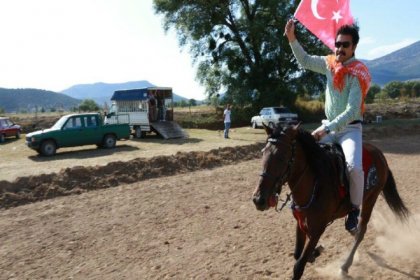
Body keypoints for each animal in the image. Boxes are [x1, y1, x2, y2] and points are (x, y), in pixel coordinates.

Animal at [251, 124, 408, 280]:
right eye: (263, 153)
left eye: (282, 157)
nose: (259, 199)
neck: (315, 182)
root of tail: (380, 154)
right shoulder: (300, 223)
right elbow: (297, 254)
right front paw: (315, 253)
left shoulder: (318, 229)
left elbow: (299, 266)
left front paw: (313, 253)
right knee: (355, 231)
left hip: (371, 199)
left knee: (360, 232)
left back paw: (345, 265)